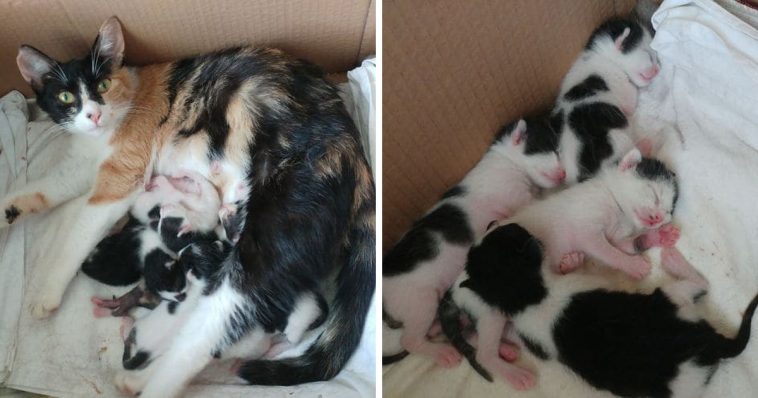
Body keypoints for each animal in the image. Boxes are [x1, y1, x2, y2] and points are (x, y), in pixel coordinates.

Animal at [9, 17, 378, 396]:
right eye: (65, 97)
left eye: (104, 84)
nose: (93, 115)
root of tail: (353, 147)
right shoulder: (81, 164)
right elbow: (52, 185)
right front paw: (11, 206)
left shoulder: (123, 175)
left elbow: (80, 231)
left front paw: (47, 291)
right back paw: (137, 376)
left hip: (276, 223)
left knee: (204, 338)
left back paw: (151, 383)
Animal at [446, 224, 758, 398]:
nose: (507, 221)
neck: (528, 295)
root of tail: (706, 343)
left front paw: (569, 259)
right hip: (672, 308)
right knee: (700, 283)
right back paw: (673, 260)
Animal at [556, 17, 664, 182]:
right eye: (649, 55)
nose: (658, 69)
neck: (600, 55)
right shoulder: (619, 81)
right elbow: (631, 101)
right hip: (618, 140)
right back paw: (646, 146)